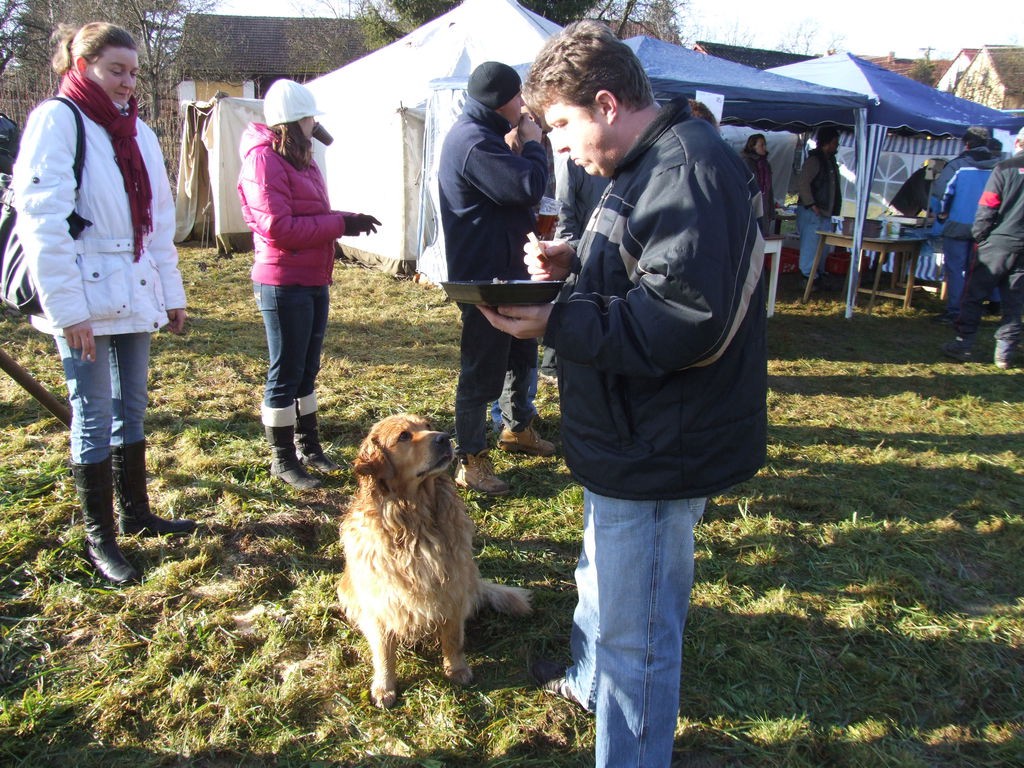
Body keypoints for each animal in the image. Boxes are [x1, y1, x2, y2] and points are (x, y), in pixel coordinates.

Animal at [338, 414, 532, 708]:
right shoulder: (380, 601)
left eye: (427, 425)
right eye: (404, 436)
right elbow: (383, 650)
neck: (414, 520)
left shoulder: (452, 587)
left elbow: (452, 638)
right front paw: (384, 686)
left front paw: (457, 669)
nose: (445, 438)